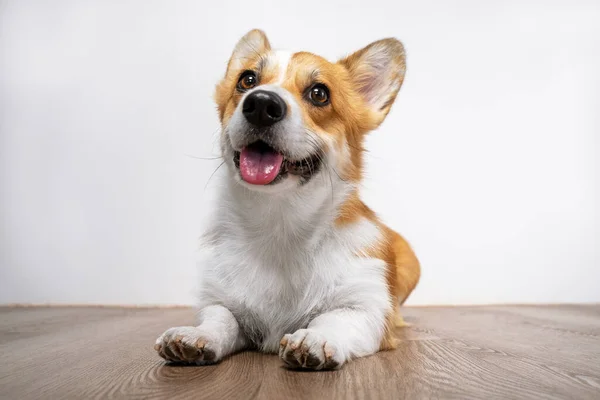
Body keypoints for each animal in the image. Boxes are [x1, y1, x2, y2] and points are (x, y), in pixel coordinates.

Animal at [155, 29, 422, 370]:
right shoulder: (221, 301)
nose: (260, 103)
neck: (279, 223)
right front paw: (195, 336)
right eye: (247, 80)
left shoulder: (366, 308)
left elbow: (334, 318)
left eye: (319, 93)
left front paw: (315, 338)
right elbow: (220, 318)